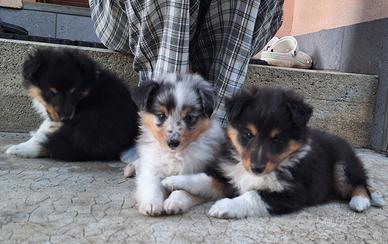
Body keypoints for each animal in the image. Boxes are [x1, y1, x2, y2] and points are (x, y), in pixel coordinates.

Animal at [161, 86, 384, 218]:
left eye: (277, 138)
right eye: (248, 134)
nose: (257, 168)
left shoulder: (291, 193)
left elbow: (253, 196)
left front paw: (224, 206)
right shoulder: (229, 178)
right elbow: (203, 179)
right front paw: (172, 180)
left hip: (342, 167)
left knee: (360, 183)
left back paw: (361, 201)